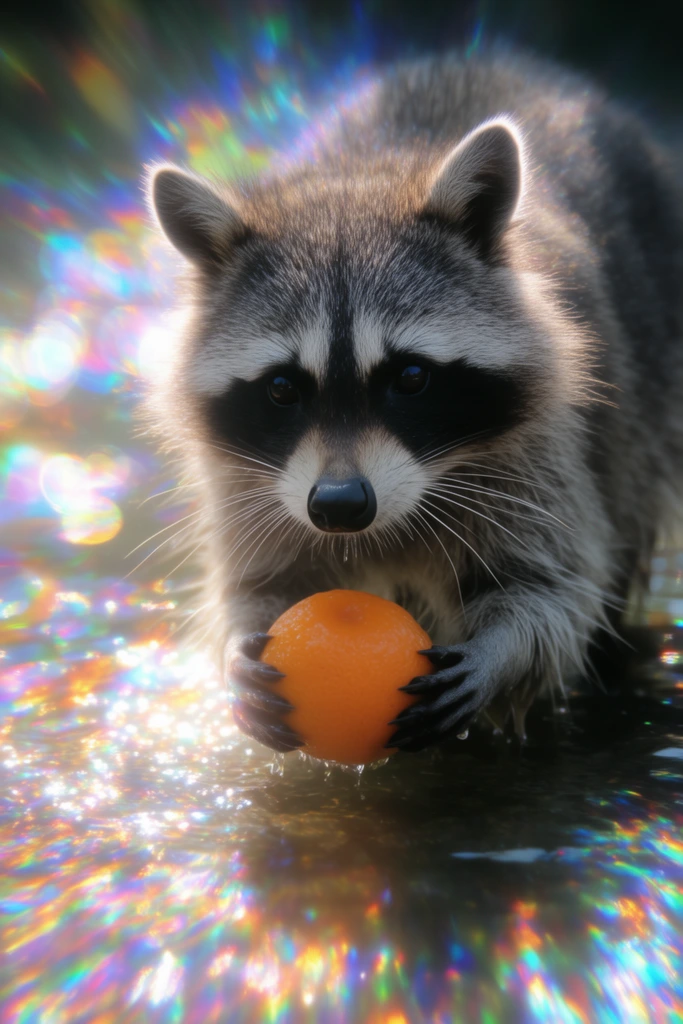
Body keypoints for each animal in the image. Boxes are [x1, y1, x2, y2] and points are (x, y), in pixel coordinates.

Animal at [145, 51, 683, 754]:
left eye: (409, 378)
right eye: (283, 388)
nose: (339, 506)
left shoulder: (539, 455)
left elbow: (551, 587)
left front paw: (501, 652)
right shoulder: (249, 482)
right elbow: (261, 582)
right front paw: (239, 644)